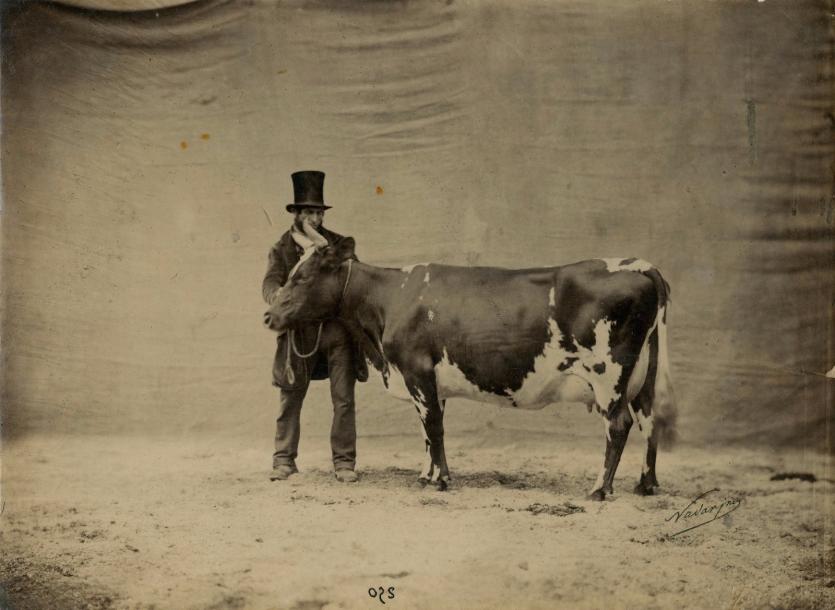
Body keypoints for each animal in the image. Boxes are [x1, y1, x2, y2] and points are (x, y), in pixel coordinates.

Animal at [263, 236, 677, 501]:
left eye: (302, 277)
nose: (269, 315)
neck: (389, 300)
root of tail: (638, 265)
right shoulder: (430, 382)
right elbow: (429, 432)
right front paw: (428, 476)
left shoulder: (416, 370)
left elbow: (433, 428)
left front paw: (440, 481)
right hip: (642, 376)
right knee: (649, 420)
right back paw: (646, 485)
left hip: (609, 373)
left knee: (619, 425)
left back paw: (599, 489)